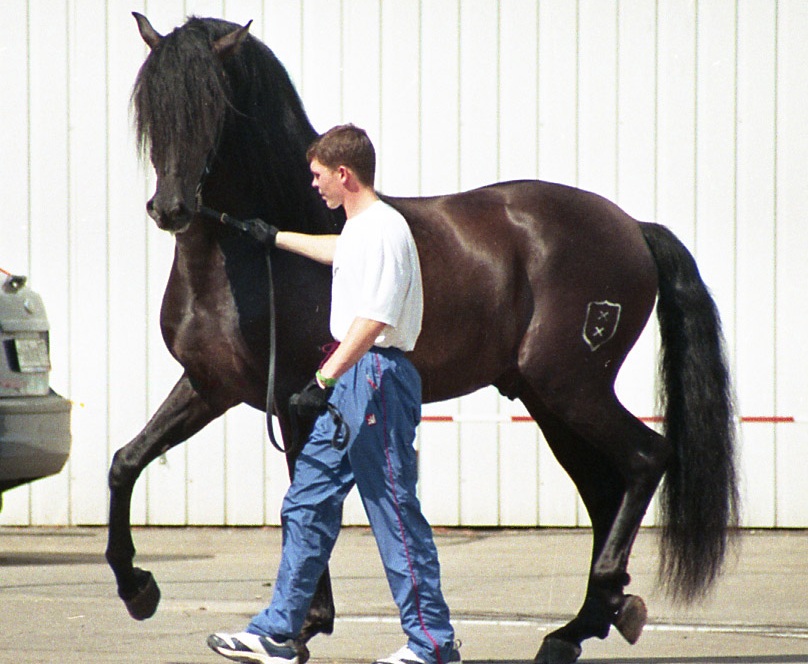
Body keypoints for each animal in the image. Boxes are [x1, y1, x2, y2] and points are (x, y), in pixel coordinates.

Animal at [105, 14, 739, 664]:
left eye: (215, 108)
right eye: (153, 106)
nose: (171, 209)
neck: (254, 255)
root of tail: (633, 227)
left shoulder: (294, 399)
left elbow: (302, 509)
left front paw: (298, 629)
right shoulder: (210, 387)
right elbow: (126, 461)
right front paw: (138, 589)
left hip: (572, 389)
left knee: (646, 457)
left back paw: (597, 609)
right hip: (551, 402)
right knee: (605, 489)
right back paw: (584, 624)